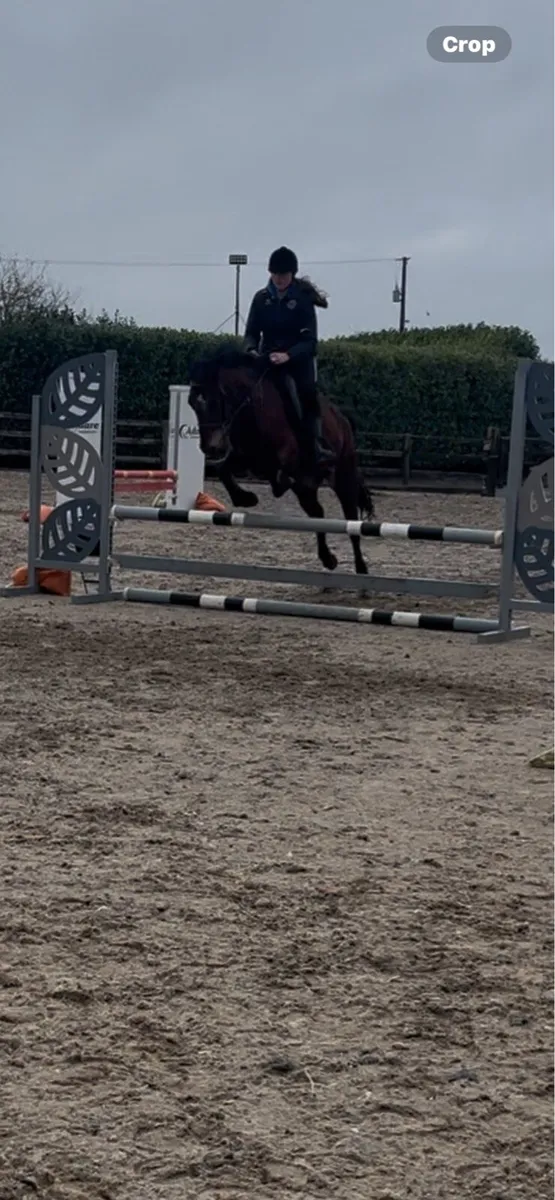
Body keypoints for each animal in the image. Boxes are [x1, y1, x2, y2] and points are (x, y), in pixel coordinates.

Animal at [187, 348, 374, 576]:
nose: (209, 448)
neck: (252, 410)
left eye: (212, 399)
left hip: (343, 478)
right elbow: (222, 468)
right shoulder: (245, 458)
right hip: (307, 491)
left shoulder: (285, 459)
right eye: (191, 403)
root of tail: (342, 419)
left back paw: (361, 567)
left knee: (351, 519)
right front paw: (245, 498)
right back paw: (328, 559)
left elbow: (279, 474)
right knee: (317, 513)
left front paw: (271, 488)